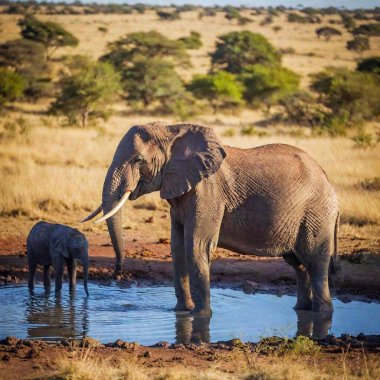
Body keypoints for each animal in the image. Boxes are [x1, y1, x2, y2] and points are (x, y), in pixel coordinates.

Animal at [82, 121, 338, 314]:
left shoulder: (208, 193)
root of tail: (328, 181)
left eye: (138, 160)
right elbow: (178, 249)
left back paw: (322, 312)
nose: (117, 273)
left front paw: (201, 315)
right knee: (299, 264)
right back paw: (301, 310)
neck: (172, 131)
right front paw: (181, 312)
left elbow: (197, 246)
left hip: (316, 214)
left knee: (315, 261)